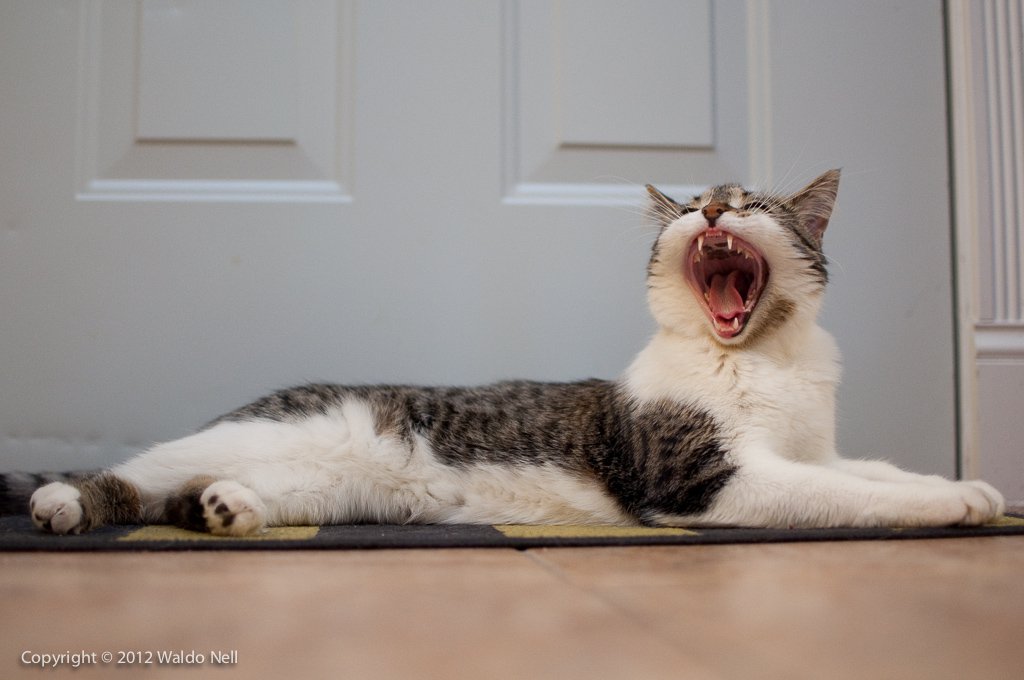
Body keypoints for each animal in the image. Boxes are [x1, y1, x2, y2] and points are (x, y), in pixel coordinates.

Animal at [19, 170, 1003, 536]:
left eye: (753, 201)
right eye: (691, 201)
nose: (715, 208)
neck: (764, 356)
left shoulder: (814, 445)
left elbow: (872, 470)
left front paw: (974, 487)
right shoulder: (704, 481)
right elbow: (847, 494)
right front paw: (955, 504)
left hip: (320, 487)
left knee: (195, 492)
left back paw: (228, 509)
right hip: (249, 435)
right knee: (133, 474)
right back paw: (64, 503)